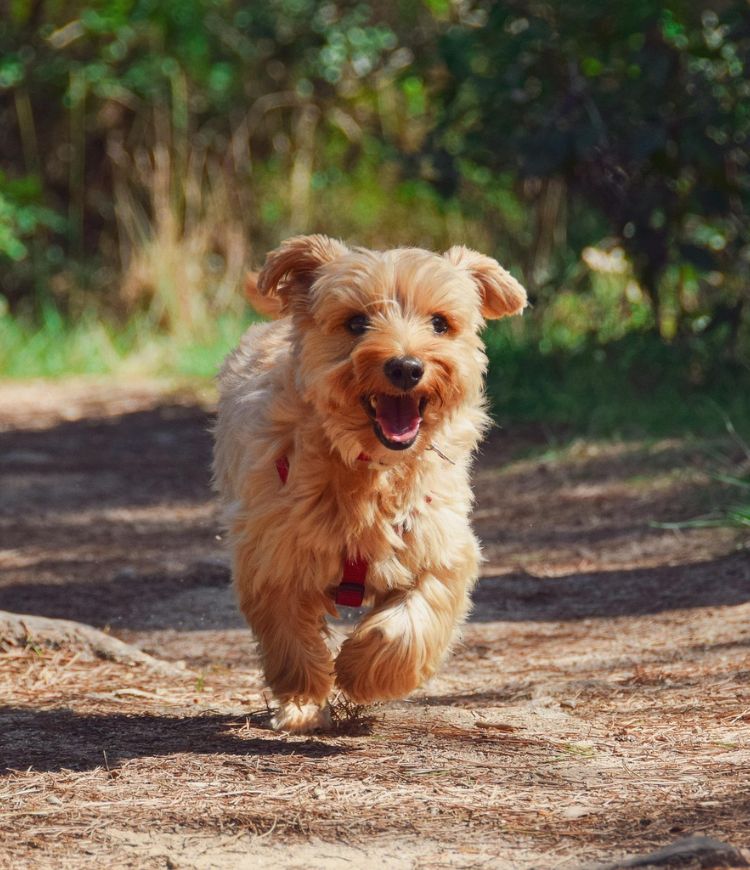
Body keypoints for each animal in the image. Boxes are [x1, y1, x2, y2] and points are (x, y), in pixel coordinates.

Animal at [212, 235, 528, 732]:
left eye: (440, 323)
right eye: (356, 322)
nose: (406, 367)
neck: (371, 470)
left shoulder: (440, 546)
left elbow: (411, 622)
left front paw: (362, 671)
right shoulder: (273, 553)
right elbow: (290, 637)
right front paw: (304, 700)